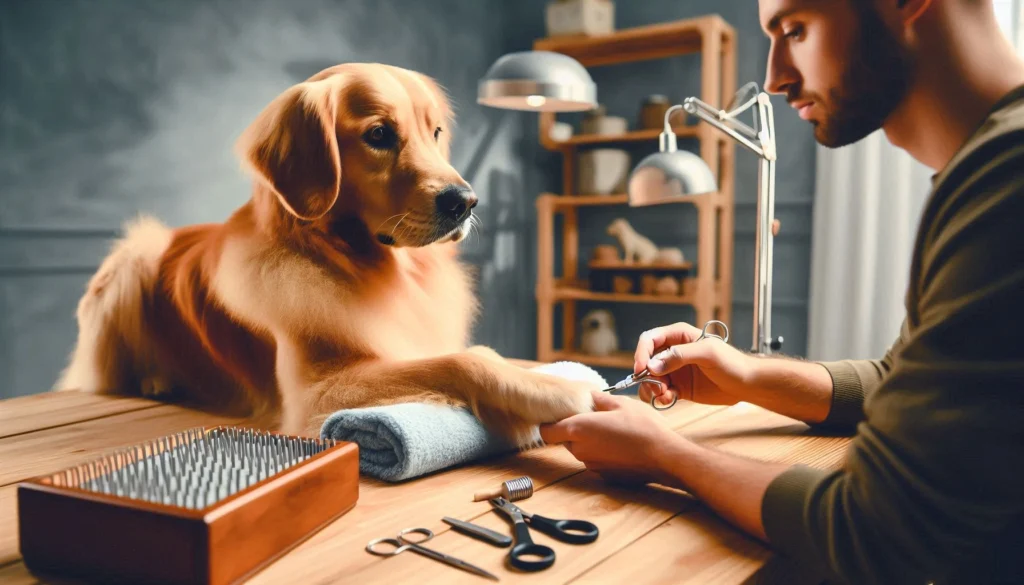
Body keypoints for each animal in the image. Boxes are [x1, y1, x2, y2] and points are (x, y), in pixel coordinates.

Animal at [54, 63, 598, 444]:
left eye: (436, 133)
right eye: (379, 134)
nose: (465, 201)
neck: (362, 264)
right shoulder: (315, 392)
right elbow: (466, 361)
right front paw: (553, 389)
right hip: (134, 256)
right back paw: (154, 380)